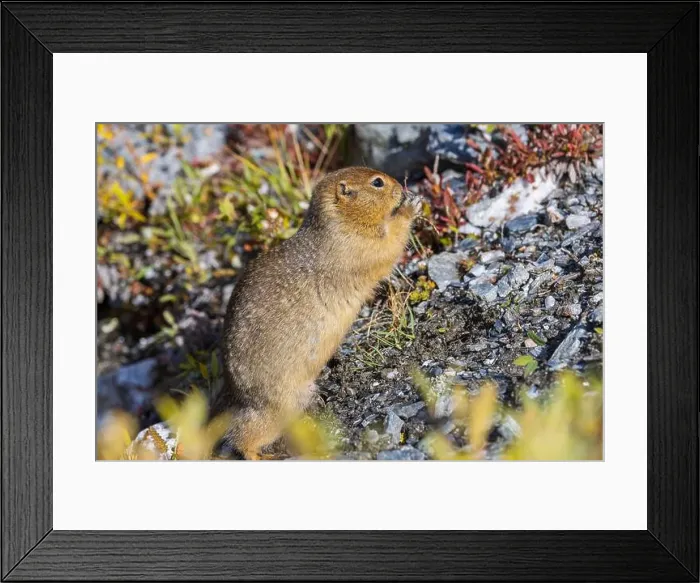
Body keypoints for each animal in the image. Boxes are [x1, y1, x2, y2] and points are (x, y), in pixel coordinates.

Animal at [210, 167, 418, 459]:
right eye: (377, 182)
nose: (401, 187)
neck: (339, 223)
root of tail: (236, 395)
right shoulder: (359, 246)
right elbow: (389, 243)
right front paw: (412, 207)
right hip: (277, 408)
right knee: (242, 436)